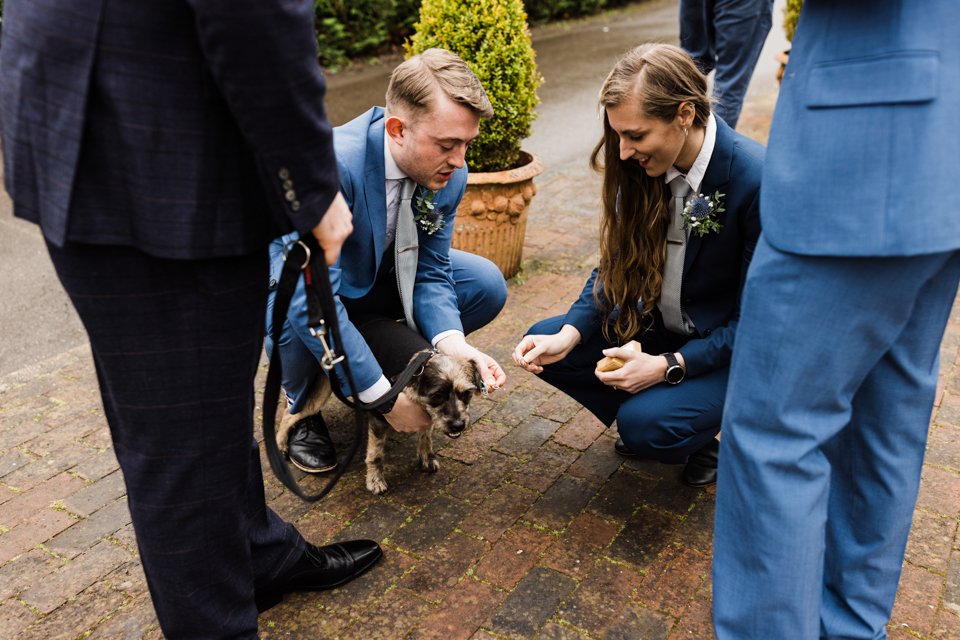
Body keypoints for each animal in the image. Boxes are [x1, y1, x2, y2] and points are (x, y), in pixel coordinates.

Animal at [278, 350, 484, 496]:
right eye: (437, 396)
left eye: (466, 393)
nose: (458, 425)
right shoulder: (379, 418)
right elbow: (375, 455)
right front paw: (375, 481)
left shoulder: (426, 414)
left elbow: (426, 436)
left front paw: (427, 458)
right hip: (320, 393)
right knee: (289, 413)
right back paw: (281, 446)